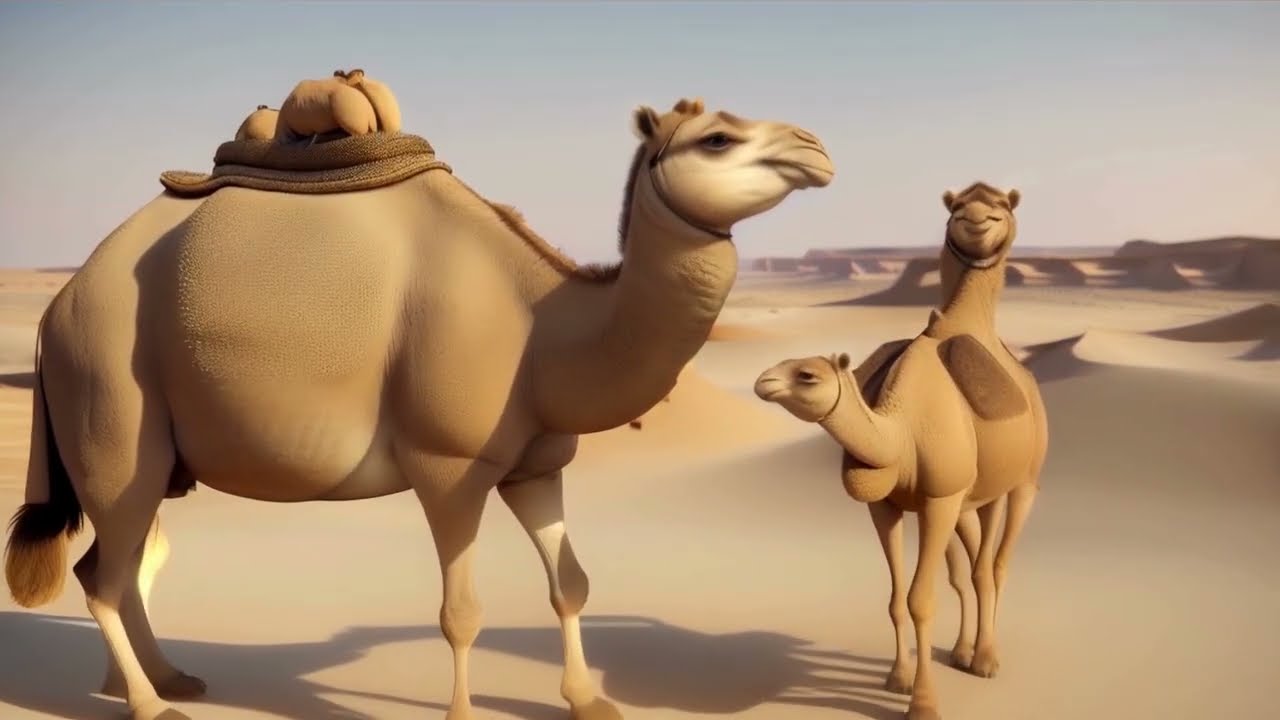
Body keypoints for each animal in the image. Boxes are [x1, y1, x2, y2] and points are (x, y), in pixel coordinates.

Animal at [3, 96, 834, 720]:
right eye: (718, 138)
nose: (817, 148)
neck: (544, 328)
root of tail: (60, 306)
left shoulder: (536, 465)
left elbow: (571, 582)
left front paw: (590, 702)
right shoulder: (450, 466)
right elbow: (460, 612)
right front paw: (465, 713)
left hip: (151, 454)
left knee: (121, 564)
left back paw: (163, 679)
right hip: (113, 403)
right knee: (103, 574)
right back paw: (151, 703)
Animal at [753, 182, 1047, 720]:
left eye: (808, 375)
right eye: (786, 363)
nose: (763, 381)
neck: (900, 431)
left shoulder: (938, 500)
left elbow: (920, 599)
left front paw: (924, 703)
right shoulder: (888, 505)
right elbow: (896, 597)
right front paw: (898, 678)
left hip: (1022, 481)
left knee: (994, 564)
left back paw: (987, 659)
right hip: (967, 500)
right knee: (969, 568)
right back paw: (964, 652)